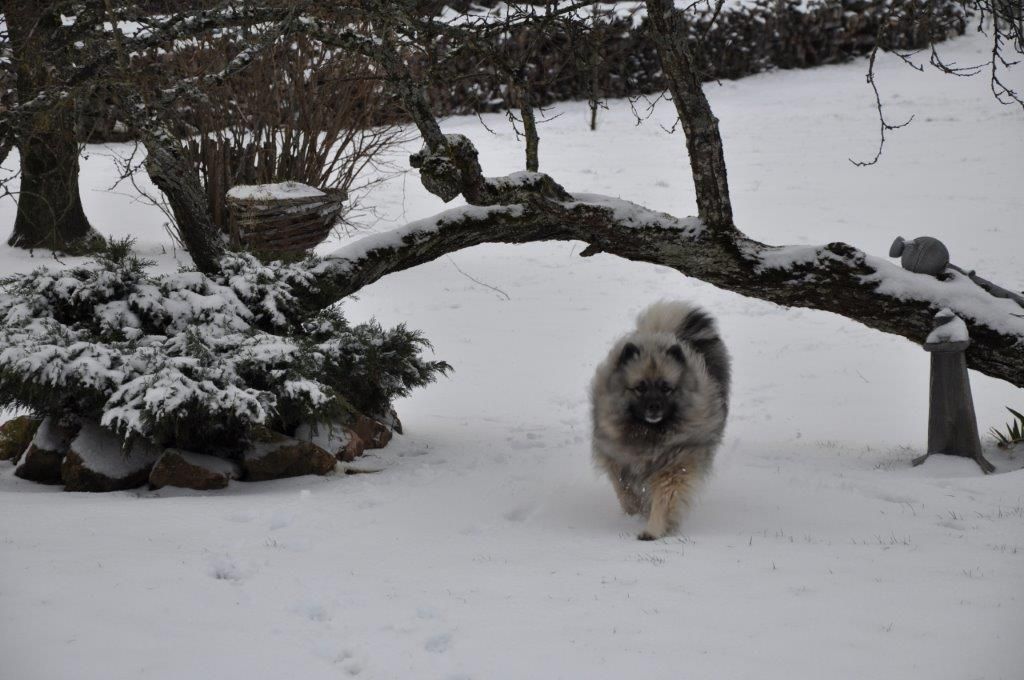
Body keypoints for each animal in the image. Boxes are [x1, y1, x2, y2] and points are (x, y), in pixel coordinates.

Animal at [593, 301, 729, 540]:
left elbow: (664, 499)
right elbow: (624, 489)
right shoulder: (617, 459)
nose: (654, 407)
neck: (648, 432)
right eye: (640, 388)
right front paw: (635, 510)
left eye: (666, 388)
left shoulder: (674, 467)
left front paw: (653, 529)